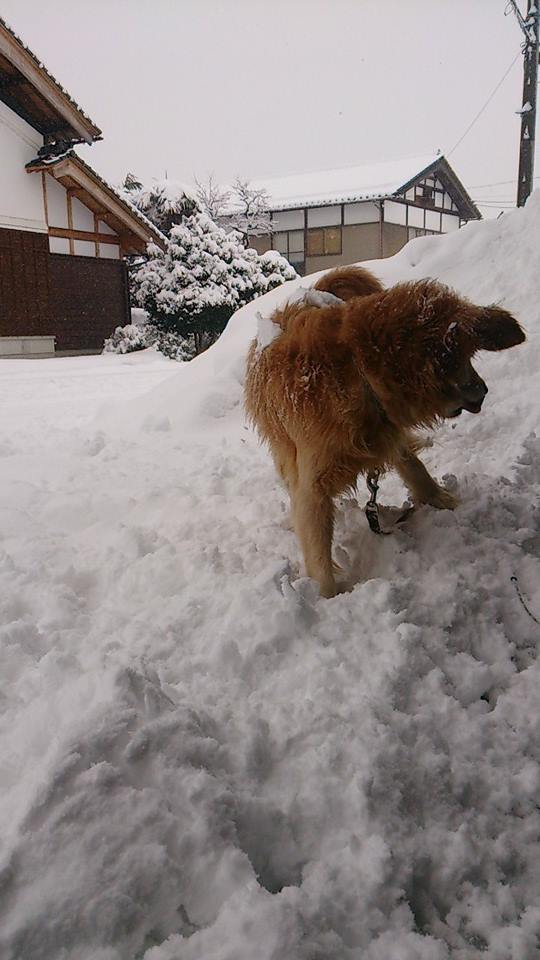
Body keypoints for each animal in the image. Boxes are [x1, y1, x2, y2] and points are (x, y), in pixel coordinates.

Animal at [245, 266, 526, 598]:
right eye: (463, 361)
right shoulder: (312, 484)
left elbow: (414, 467)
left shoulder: (387, 431)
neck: (357, 369)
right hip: (285, 446)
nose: (484, 390)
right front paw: (327, 598)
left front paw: (443, 501)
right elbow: (318, 553)